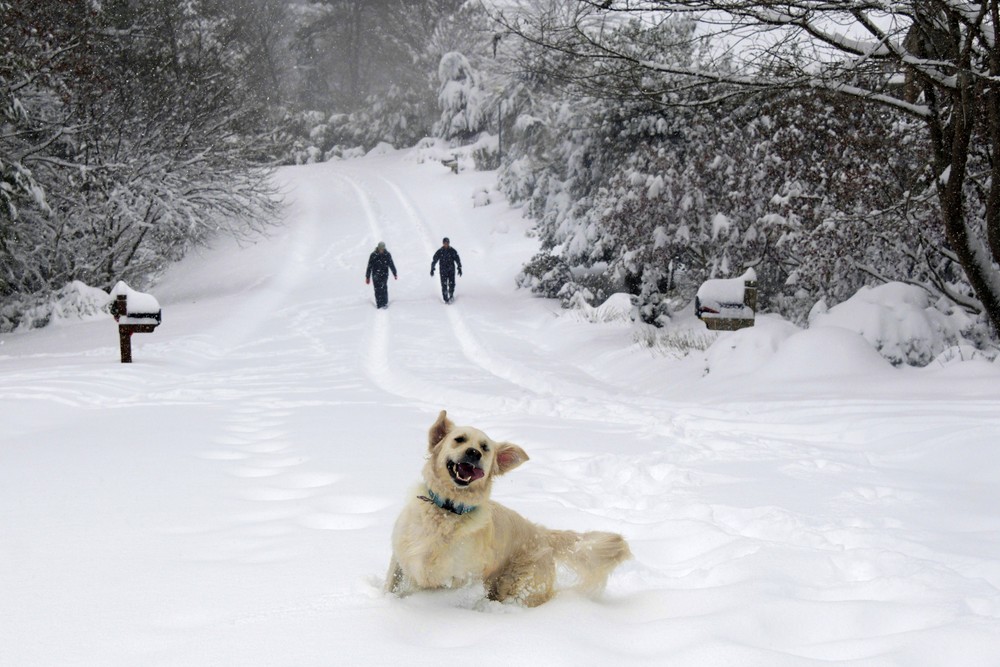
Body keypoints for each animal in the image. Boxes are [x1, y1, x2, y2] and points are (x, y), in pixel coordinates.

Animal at [386, 410, 628, 608]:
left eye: (485, 448)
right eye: (459, 439)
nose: (473, 453)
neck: (448, 510)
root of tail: (541, 532)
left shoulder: (459, 579)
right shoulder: (401, 559)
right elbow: (391, 585)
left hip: (517, 584)